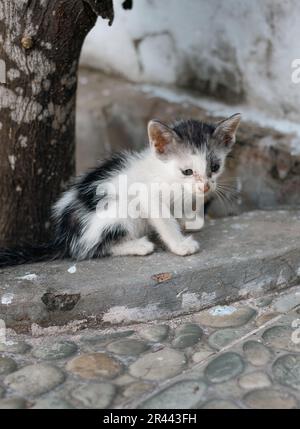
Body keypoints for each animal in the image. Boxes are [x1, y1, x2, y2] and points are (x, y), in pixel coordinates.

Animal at [0, 113, 239, 268]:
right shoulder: (147, 195)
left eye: (215, 167)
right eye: (187, 171)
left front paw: (184, 221)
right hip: (116, 212)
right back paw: (139, 246)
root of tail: (66, 237)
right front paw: (179, 244)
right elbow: (164, 220)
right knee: (89, 250)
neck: (164, 173)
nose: (206, 186)